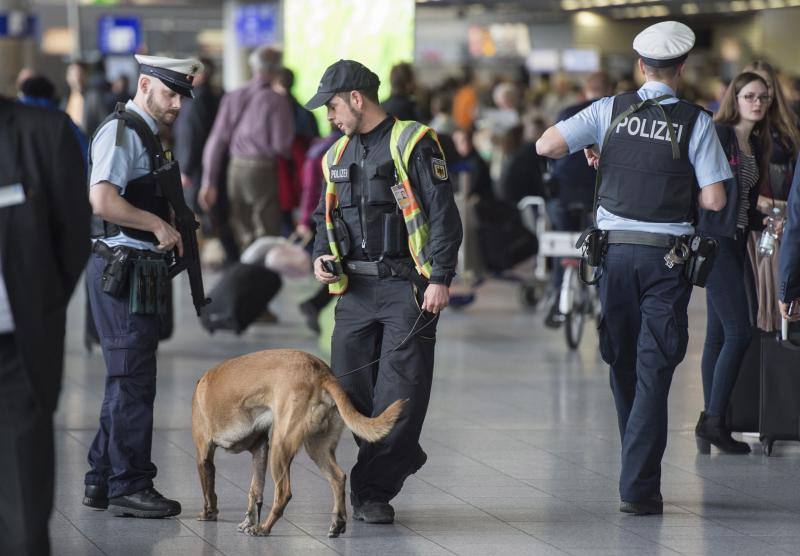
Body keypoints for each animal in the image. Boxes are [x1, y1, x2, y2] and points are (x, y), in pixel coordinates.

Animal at [191, 350, 404, 536]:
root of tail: (321, 373)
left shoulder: (203, 454)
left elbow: (209, 491)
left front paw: (209, 514)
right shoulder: (260, 449)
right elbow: (255, 490)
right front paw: (248, 521)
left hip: (280, 447)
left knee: (284, 492)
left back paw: (264, 528)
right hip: (317, 448)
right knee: (338, 478)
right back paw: (337, 523)